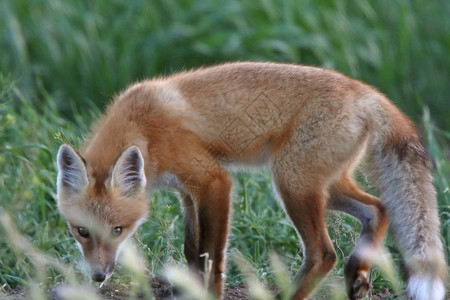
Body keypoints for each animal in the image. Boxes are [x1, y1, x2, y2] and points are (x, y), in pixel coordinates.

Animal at [56, 62, 446, 298]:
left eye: (118, 230)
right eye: (82, 231)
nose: (98, 277)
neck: (143, 129)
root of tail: (365, 92)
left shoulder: (213, 181)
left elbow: (211, 256)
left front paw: (209, 294)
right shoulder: (187, 191)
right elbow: (192, 251)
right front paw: (191, 289)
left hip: (292, 182)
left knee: (323, 253)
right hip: (325, 185)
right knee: (379, 209)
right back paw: (358, 273)